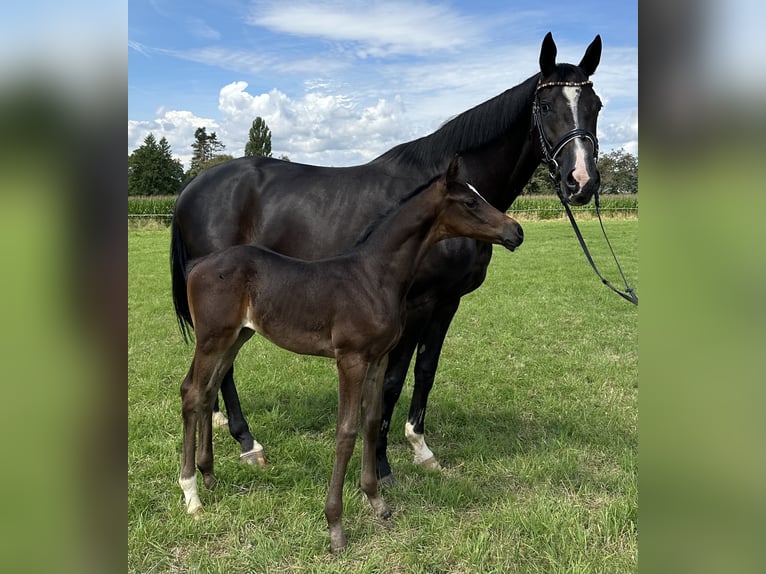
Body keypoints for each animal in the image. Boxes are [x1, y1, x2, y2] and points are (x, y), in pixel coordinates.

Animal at [181, 160, 528, 556]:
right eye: (470, 202)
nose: (516, 231)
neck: (372, 276)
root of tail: (199, 265)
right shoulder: (351, 360)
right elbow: (346, 431)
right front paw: (335, 527)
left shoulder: (378, 360)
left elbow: (371, 421)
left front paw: (377, 502)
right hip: (213, 339)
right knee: (192, 393)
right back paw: (191, 495)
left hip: (237, 337)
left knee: (207, 392)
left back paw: (209, 476)